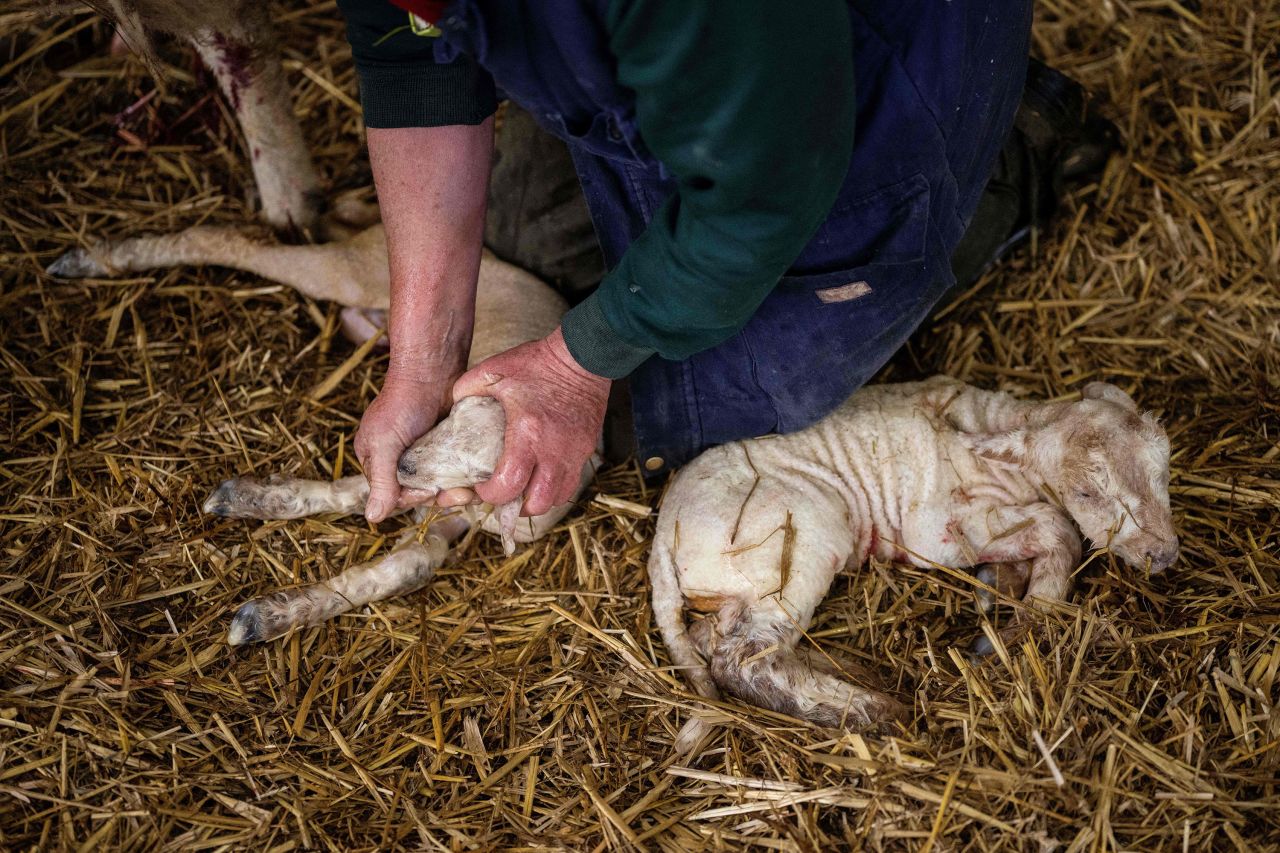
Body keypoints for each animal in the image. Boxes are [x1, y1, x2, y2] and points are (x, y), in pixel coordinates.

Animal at [650, 376, 1177, 747]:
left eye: (1164, 471)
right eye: (1086, 491)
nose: (1164, 554)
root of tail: (662, 533)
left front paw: (997, 590)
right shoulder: (934, 529)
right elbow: (1059, 529)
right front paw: (1019, 624)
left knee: (715, 638)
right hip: (791, 546)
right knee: (744, 660)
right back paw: (875, 710)